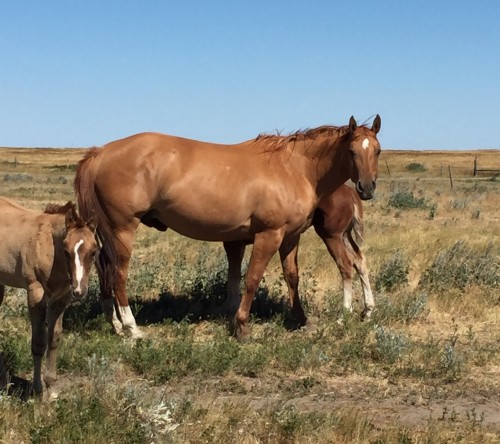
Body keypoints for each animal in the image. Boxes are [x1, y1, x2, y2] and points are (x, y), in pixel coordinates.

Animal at [0, 198, 97, 396]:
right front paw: (38, 392)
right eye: (66, 251)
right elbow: (39, 342)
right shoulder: (35, 293)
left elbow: (54, 338)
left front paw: (51, 388)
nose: (79, 291)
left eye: (93, 251)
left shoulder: (61, 299)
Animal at [222, 184, 374, 323]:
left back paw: (344, 315)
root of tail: (350, 191)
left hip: (332, 236)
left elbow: (234, 274)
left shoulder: (233, 243)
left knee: (346, 264)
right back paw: (368, 311)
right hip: (344, 235)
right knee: (359, 261)